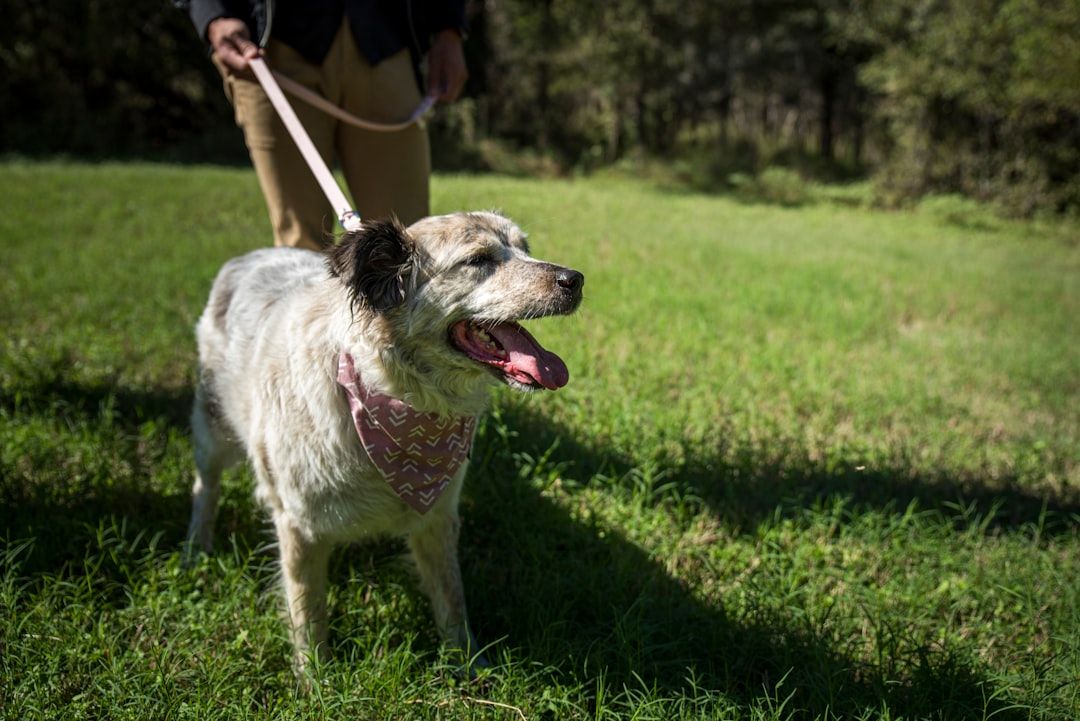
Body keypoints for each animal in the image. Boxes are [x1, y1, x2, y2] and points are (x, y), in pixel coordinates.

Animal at [183, 211, 583, 673]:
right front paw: (315, 678)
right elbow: (308, 613)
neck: (394, 397)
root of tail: (248, 257)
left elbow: (452, 599)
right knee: (205, 487)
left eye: (525, 249)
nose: (576, 279)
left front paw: (468, 666)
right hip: (212, 427)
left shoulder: (437, 517)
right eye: (479, 260)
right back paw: (196, 548)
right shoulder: (299, 526)